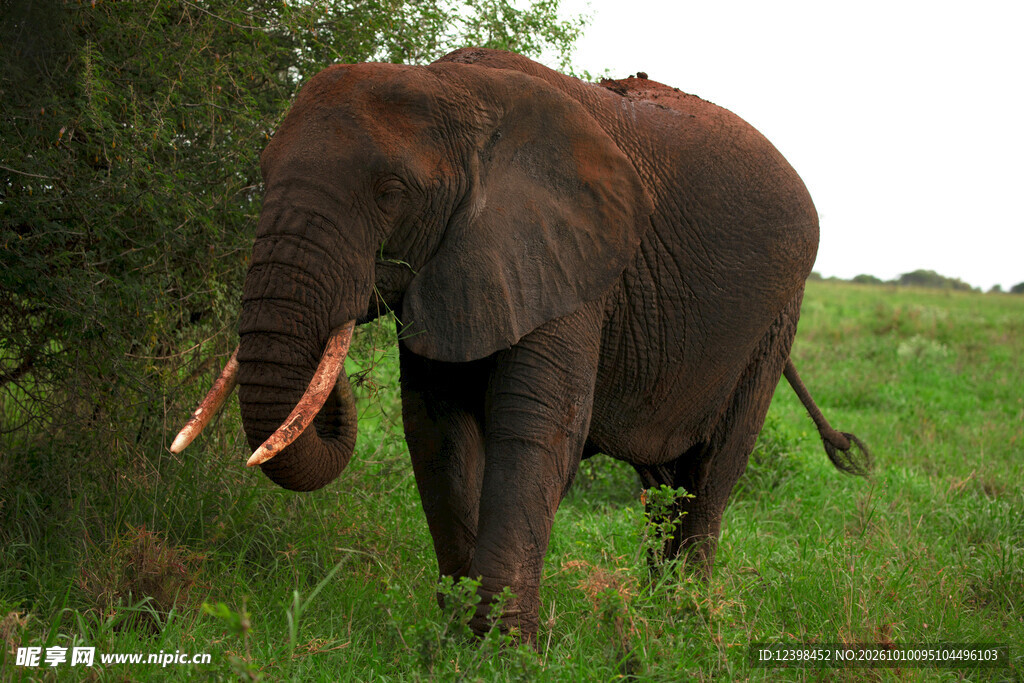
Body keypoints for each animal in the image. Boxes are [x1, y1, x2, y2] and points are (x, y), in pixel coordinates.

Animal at [172, 48, 869, 641]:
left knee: (714, 467)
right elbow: (437, 428)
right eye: (261, 176)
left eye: (391, 192)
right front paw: (458, 639)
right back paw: (653, 613)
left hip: (776, 315)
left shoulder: (571, 260)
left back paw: (682, 626)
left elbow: (536, 428)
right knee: (663, 483)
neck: (451, 91)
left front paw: (504, 648)